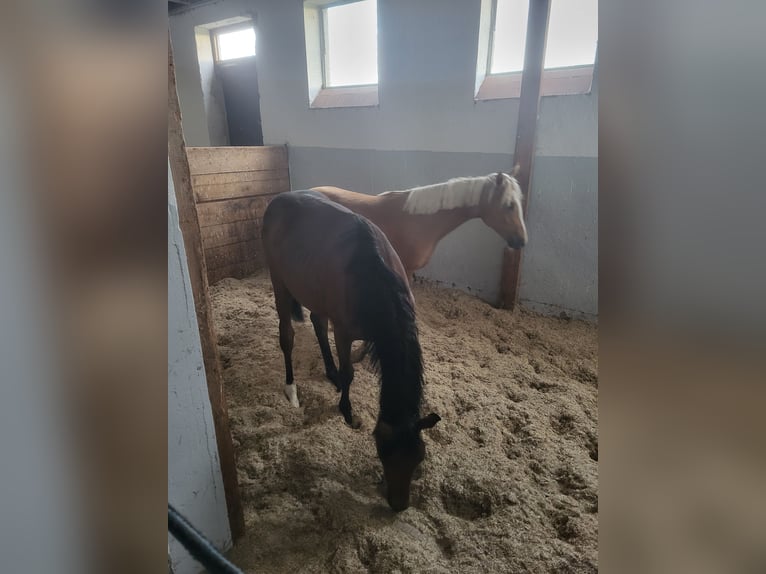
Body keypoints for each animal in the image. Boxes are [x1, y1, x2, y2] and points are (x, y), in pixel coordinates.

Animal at [261, 190, 441, 511]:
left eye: (418, 458)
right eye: (383, 453)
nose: (399, 505)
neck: (372, 276)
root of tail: (278, 200)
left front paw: (338, 382)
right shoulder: (344, 332)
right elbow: (350, 373)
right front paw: (347, 412)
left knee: (318, 324)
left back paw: (329, 372)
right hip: (279, 281)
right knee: (287, 336)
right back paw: (292, 388)